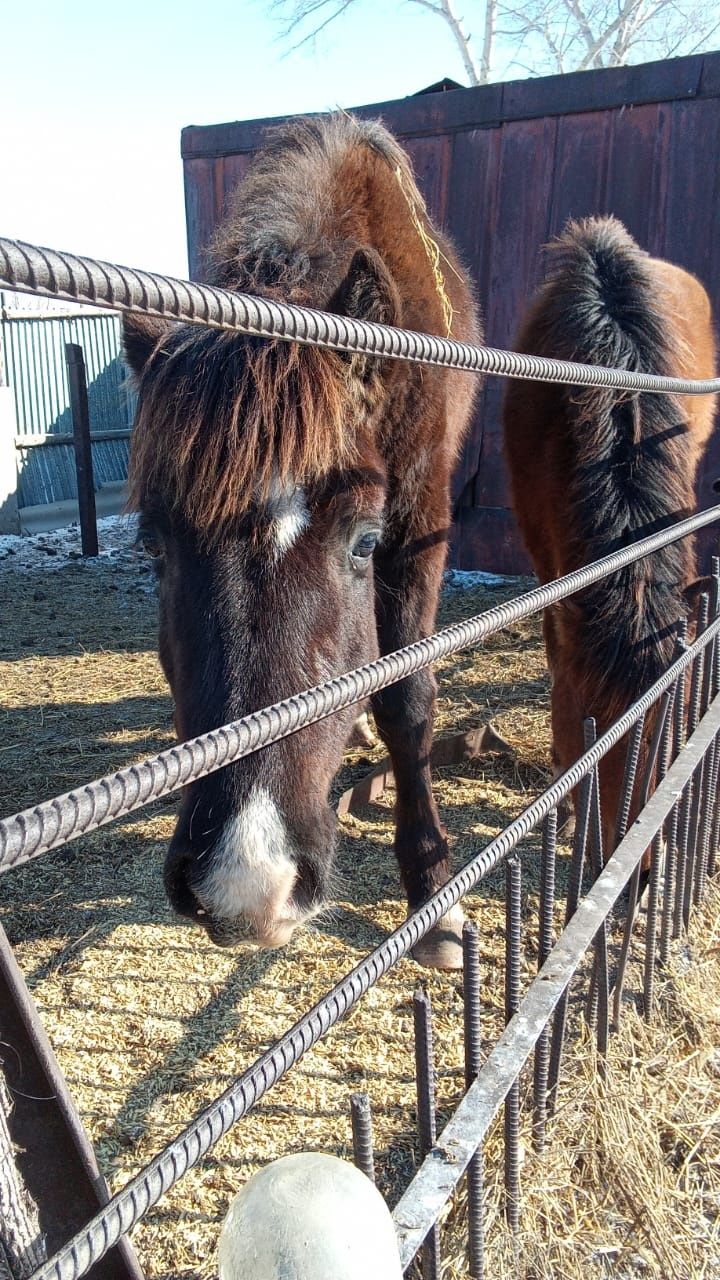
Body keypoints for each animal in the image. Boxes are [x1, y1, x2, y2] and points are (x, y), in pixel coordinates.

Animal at [122, 117, 479, 962]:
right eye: (154, 548)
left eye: (364, 543)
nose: (247, 887)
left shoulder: (420, 525)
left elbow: (408, 698)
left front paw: (434, 896)